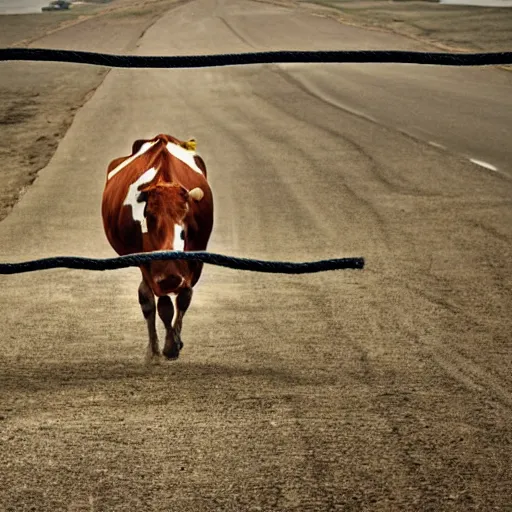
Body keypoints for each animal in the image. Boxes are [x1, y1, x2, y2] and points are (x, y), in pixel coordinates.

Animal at [102, 134, 214, 362]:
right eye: (149, 217)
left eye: (186, 224)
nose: (170, 278)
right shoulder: (150, 268)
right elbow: (163, 307)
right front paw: (169, 346)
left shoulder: (195, 262)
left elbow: (184, 298)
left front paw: (175, 342)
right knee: (146, 299)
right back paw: (152, 348)